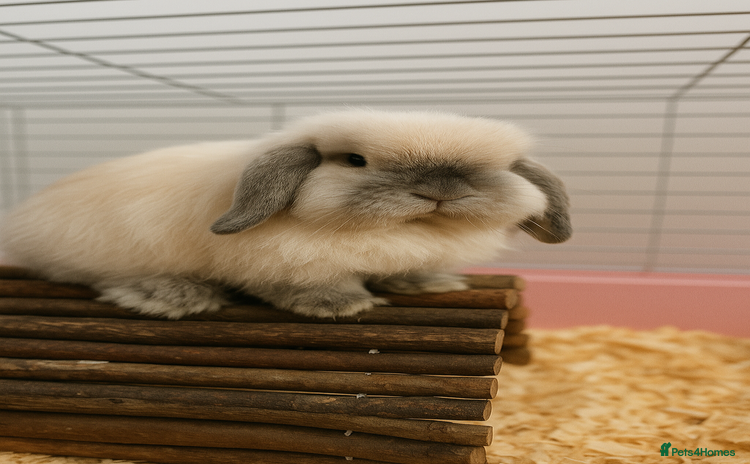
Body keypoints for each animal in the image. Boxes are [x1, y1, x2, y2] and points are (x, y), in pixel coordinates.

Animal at [0, 109, 571, 319]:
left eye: (494, 169)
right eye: (355, 161)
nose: (438, 190)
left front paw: (430, 284)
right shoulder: (283, 263)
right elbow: (304, 286)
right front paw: (339, 306)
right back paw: (173, 296)